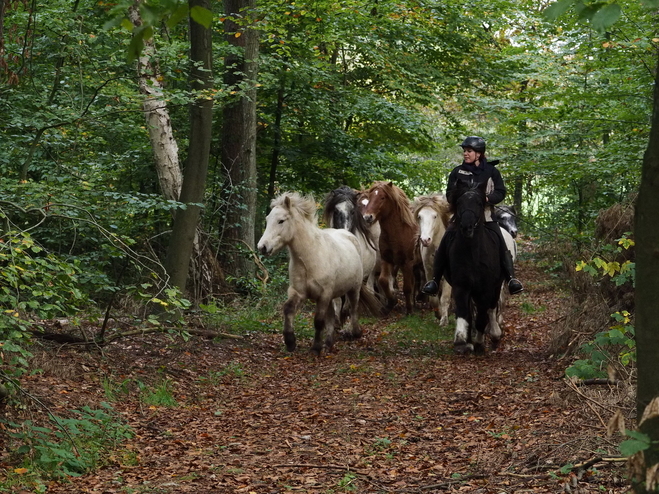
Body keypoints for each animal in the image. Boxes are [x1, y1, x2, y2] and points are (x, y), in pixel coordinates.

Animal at [258, 191, 382, 354]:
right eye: (267, 219)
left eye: (281, 221)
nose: (262, 247)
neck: (310, 258)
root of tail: (347, 234)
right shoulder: (298, 292)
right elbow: (288, 309)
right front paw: (290, 342)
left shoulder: (323, 295)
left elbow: (318, 321)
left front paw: (316, 348)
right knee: (332, 315)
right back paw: (329, 342)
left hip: (353, 289)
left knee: (353, 308)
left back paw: (354, 332)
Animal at [360, 180, 418, 312]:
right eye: (370, 197)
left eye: (382, 197)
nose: (367, 217)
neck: (398, 233)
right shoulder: (387, 260)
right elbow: (383, 281)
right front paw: (391, 301)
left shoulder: (407, 263)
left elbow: (407, 287)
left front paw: (409, 310)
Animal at [412, 195, 454, 326]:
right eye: (419, 216)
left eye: (435, 216)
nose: (425, 240)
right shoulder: (429, 272)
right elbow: (433, 299)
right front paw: (438, 314)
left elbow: (445, 297)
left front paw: (444, 320)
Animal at [448, 179, 506, 354]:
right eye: (459, 202)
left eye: (479, 203)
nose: (466, 227)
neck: (472, 253)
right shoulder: (461, 286)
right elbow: (463, 313)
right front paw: (461, 340)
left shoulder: (486, 289)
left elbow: (482, 316)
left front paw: (480, 342)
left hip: (496, 287)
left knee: (491, 308)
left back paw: (494, 334)